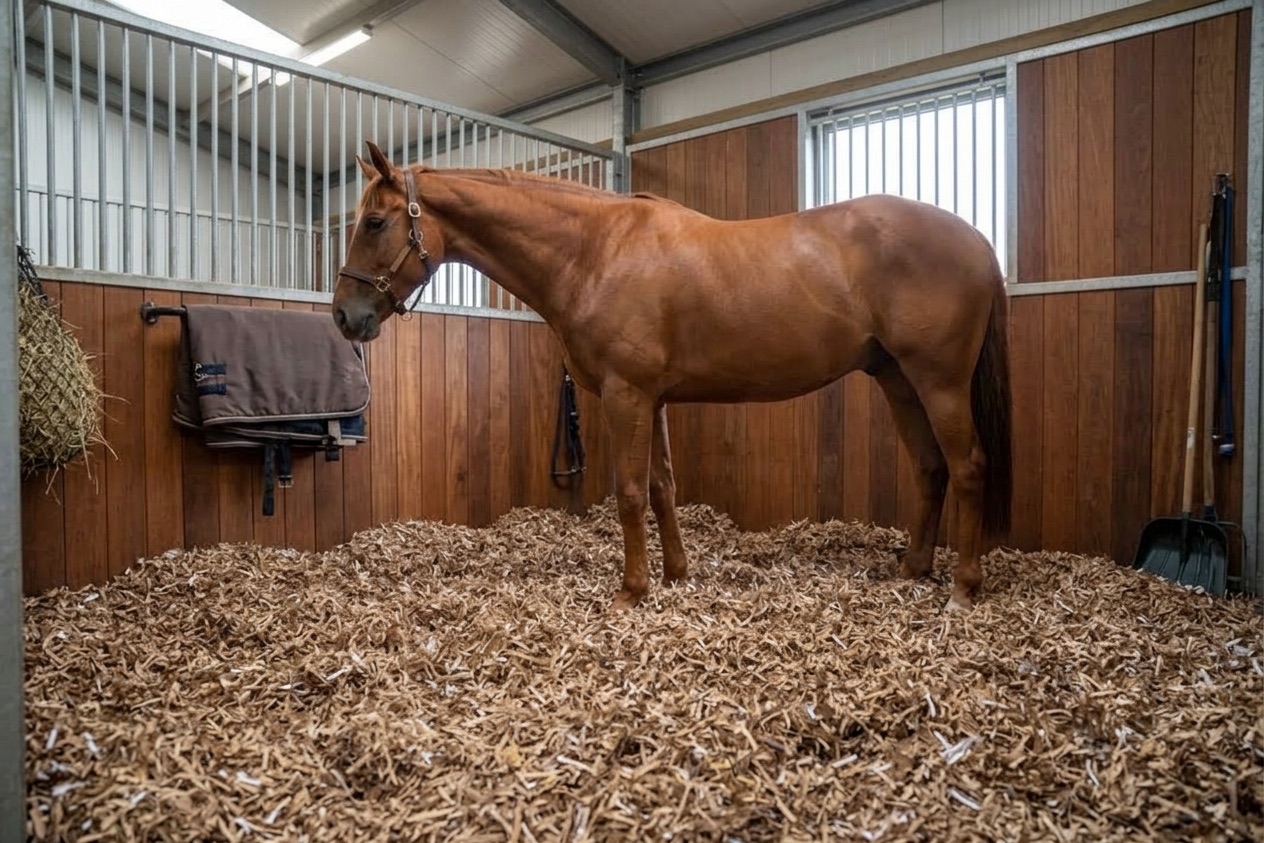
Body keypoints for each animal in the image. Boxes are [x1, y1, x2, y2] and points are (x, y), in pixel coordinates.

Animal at [332, 140, 1013, 614]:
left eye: (374, 222)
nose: (345, 316)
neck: (594, 252)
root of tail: (979, 241)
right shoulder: (652, 399)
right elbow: (662, 487)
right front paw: (676, 576)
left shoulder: (626, 395)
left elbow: (631, 492)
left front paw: (631, 592)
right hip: (897, 379)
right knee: (930, 468)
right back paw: (913, 570)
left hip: (938, 381)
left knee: (968, 466)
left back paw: (962, 588)